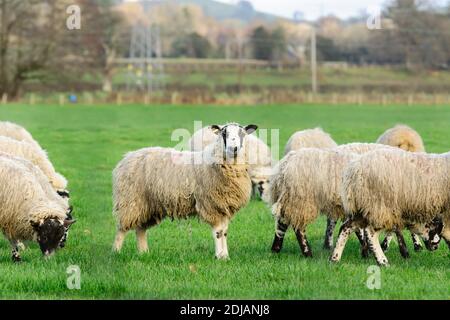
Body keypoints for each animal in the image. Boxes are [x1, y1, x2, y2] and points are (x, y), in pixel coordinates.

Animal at [113, 122, 256, 260]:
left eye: (242, 134)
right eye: (224, 133)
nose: (234, 148)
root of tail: (127, 157)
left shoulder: (224, 206)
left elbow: (224, 232)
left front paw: (225, 256)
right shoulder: (212, 205)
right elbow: (218, 232)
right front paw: (219, 256)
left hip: (148, 205)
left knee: (140, 229)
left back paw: (144, 253)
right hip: (129, 200)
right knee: (122, 228)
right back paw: (116, 252)